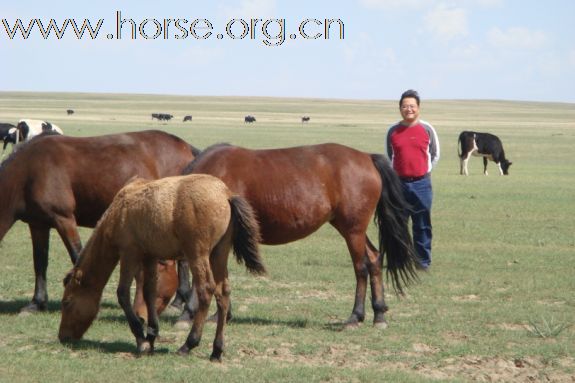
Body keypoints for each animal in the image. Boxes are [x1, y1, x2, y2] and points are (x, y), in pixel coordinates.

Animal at [0, 130, 199, 314]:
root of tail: (187, 148)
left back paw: (178, 301)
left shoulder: (64, 219)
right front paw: (36, 303)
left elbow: (77, 256)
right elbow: (40, 262)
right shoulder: (38, 225)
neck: (28, 171)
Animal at [58, 176, 266, 362]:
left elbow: (123, 293)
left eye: (66, 302)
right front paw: (151, 335)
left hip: (197, 255)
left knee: (206, 290)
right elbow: (149, 292)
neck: (119, 211)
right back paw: (216, 350)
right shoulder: (149, 257)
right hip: (218, 254)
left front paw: (140, 338)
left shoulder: (129, 253)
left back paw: (188, 345)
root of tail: (226, 195)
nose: (62, 337)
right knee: (223, 293)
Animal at [176, 142, 418, 328]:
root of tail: (367, 157)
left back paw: (355, 316)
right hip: (351, 229)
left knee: (361, 268)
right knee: (375, 259)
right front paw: (221, 313)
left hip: (353, 231)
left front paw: (190, 313)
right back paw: (379, 314)